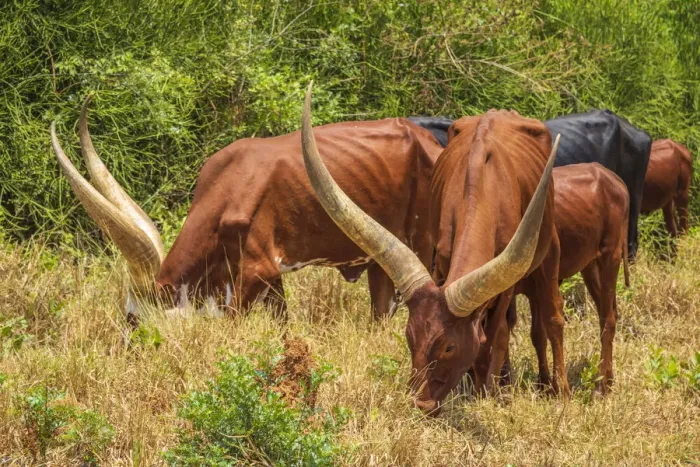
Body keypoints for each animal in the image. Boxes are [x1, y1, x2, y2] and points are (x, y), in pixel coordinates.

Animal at [50, 97, 444, 322]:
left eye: (134, 320)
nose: (128, 351)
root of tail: (429, 138)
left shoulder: (257, 271)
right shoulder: (268, 277)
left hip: (422, 246)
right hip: (380, 258)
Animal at [302, 83, 566, 415]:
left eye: (449, 346)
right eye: (409, 336)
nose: (420, 403)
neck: (483, 189)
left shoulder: (505, 285)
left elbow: (494, 335)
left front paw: (484, 391)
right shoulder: (442, 262)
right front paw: (477, 385)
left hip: (549, 251)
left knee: (550, 320)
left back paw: (556, 388)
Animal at [503, 163, 630, 394]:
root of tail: (612, 177)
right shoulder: (528, 292)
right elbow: (535, 334)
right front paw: (541, 382)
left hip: (611, 256)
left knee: (608, 319)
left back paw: (600, 387)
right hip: (590, 267)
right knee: (609, 313)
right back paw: (608, 378)